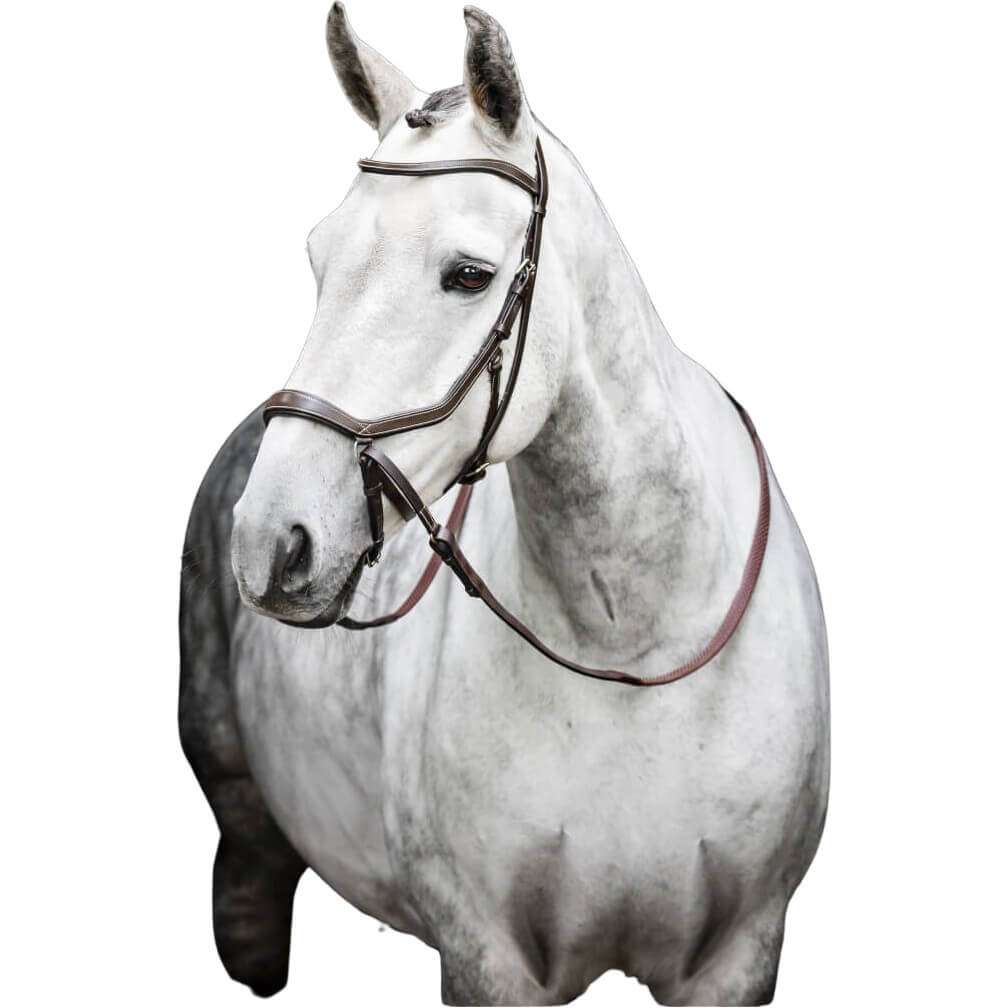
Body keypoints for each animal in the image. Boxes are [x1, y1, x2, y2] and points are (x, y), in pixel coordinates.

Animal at [179, 5, 830, 1004]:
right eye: (319, 256)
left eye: (469, 275)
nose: (270, 542)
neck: (631, 646)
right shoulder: (487, 959)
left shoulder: (738, 956)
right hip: (243, 818)